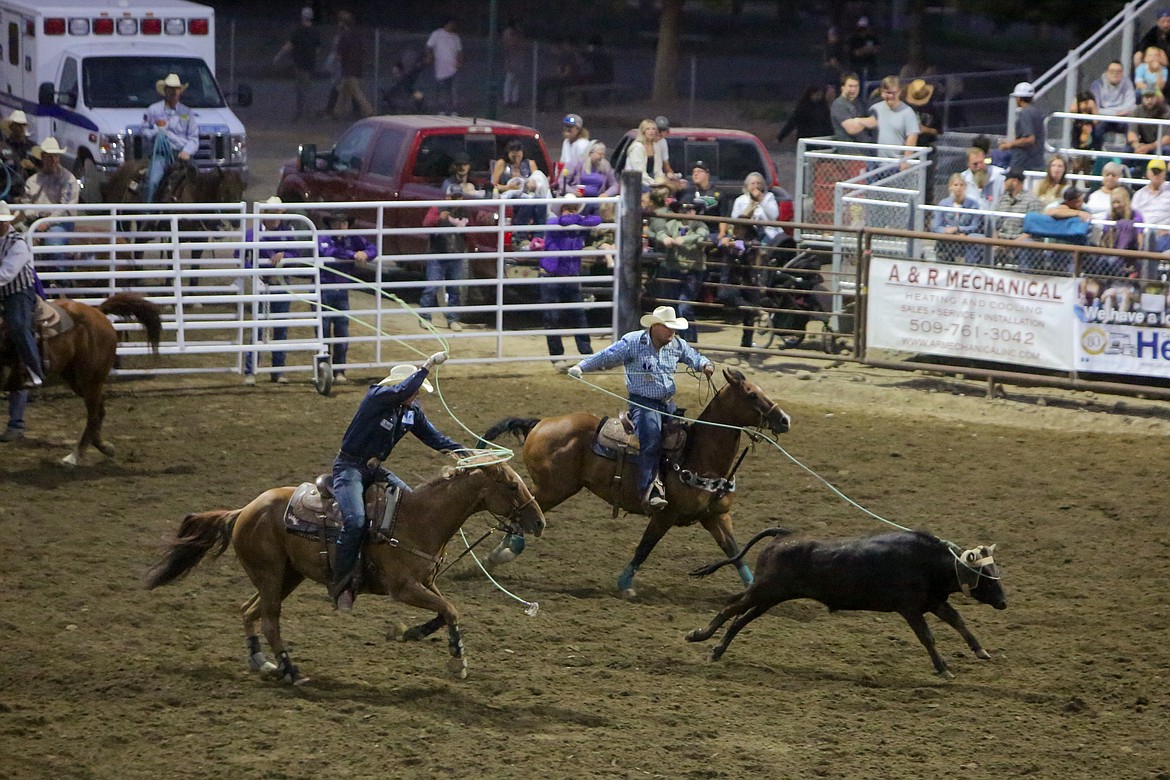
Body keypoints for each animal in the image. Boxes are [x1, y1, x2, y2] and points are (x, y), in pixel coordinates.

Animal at [0, 291, 162, 463]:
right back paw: (103, 447)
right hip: (77, 380)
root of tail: (98, 312)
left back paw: (74, 456)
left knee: (94, 415)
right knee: (100, 411)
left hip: (90, 380)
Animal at [143, 460, 545, 687]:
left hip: (286, 576)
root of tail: (243, 511)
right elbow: (451, 610)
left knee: (248, 610)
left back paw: (261, 661)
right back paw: (292, 672)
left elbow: (443, 612)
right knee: (270, 622)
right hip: (271, 576)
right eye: (512, 485)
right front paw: (457, 661)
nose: (539, 522)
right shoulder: (403, 587)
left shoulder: (426, 583)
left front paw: (408, 633)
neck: (417, 518)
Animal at [479, 369, 790, 603]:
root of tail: (539, 423)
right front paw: (625, 583)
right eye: (751, 394)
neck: (698, 454)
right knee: (523, 510)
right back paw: (504, 552)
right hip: (554, 489)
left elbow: (734, 551)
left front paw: (754, 588)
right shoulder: (665, 515)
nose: (784, 419)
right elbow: (645, 547)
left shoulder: (716, 517)